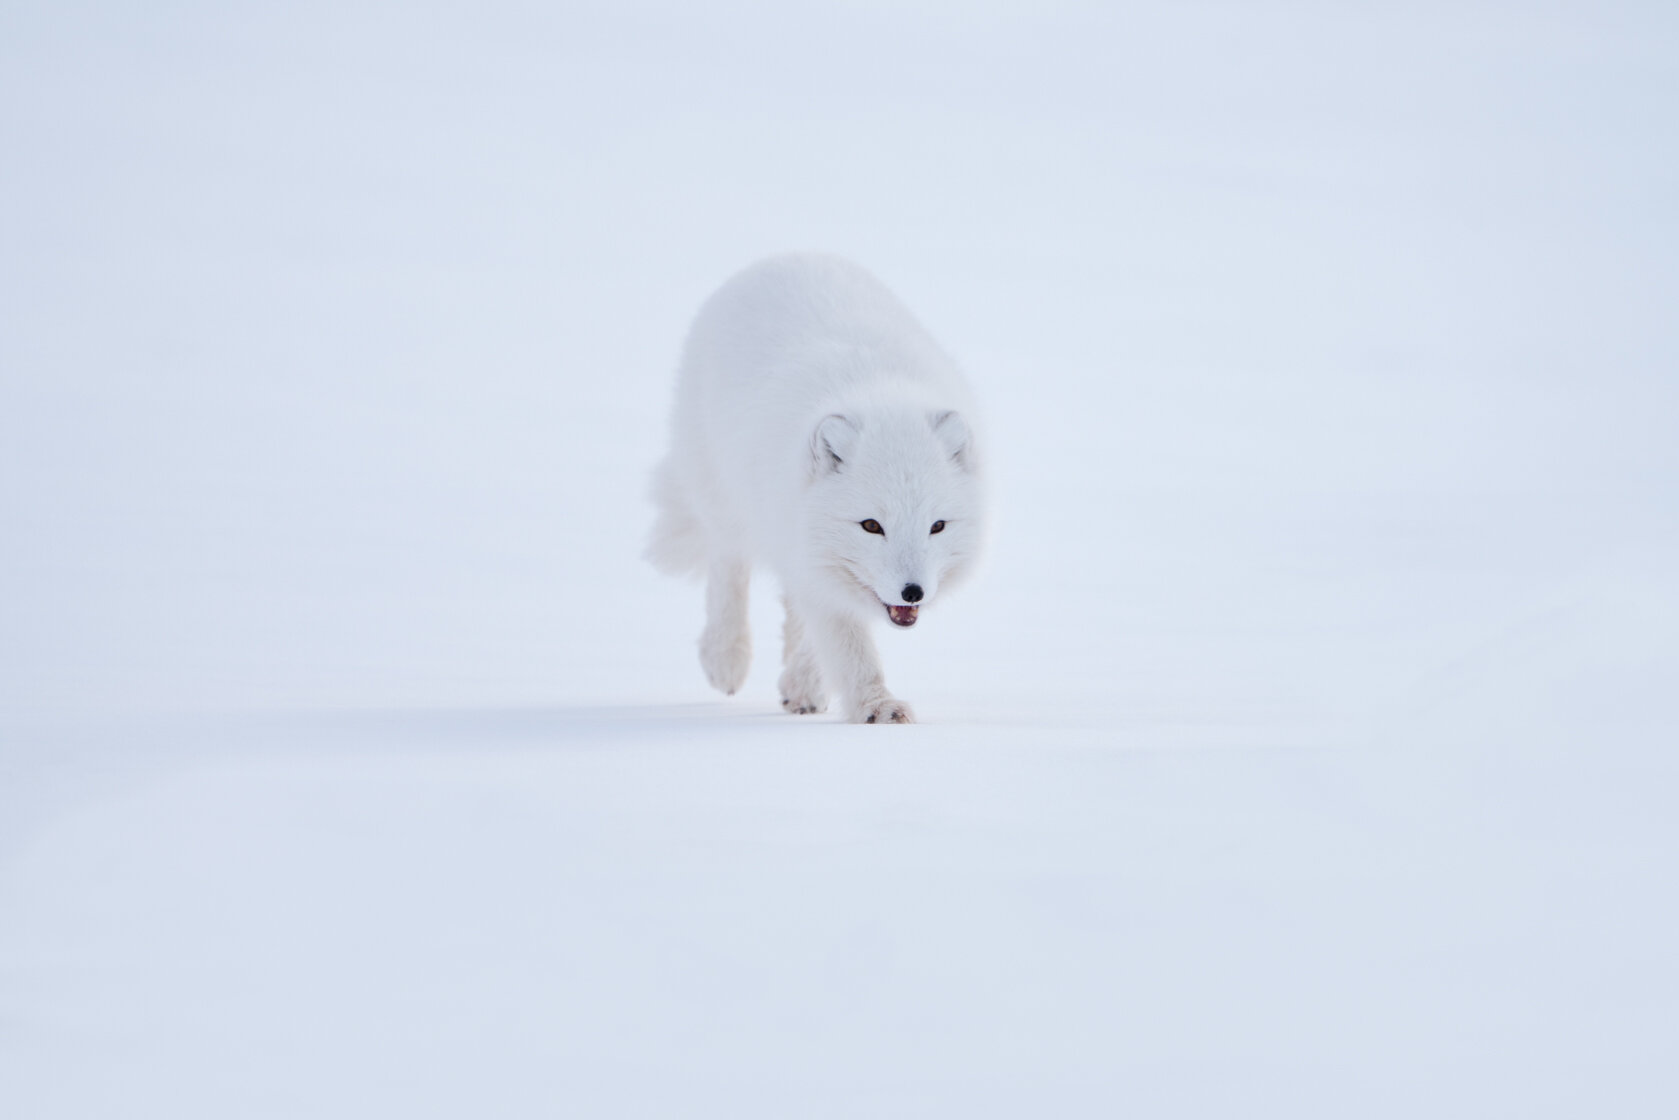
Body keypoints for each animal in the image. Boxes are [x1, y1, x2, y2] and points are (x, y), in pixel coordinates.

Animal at [641, 251, 980, 728]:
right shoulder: (812, 559)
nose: (913, 592)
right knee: (727, 566)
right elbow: (849, 647)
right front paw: (877, 707)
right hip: (724, 495)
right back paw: (726, 658)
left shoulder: (816, 560)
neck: (879, 392)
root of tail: (785, 256)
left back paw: (801, 686)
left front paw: (814, 686)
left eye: (937, 526)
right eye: (871, 525)